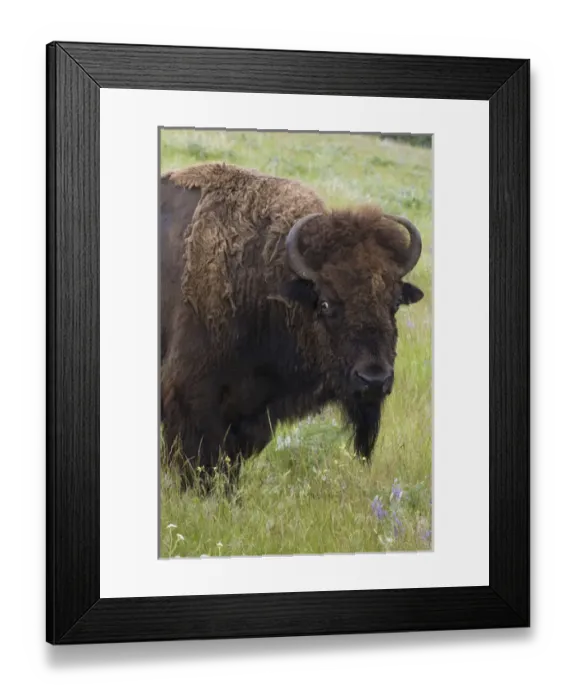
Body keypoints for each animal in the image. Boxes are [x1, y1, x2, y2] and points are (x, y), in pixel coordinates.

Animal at [160, 162, 424, 488]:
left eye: (395, 303)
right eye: (325, 303)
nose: (374, 380)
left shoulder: (251, 415)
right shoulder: (191, 397)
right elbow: (200, 463)